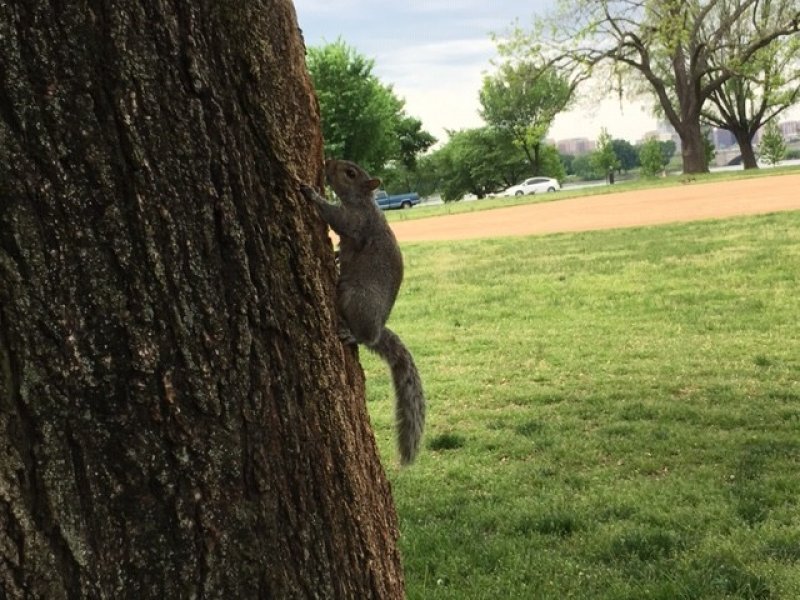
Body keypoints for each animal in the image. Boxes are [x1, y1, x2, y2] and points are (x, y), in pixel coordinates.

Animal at [300, 158, 424, 464]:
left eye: (350, 173)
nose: (327, 161)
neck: (365, 202)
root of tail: (378, 329)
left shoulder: (356, 222)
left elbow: (336, 218)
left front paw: (312, 194)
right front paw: (335, 255)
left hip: (357, 300)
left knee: (363, 336)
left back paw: (352, 334)